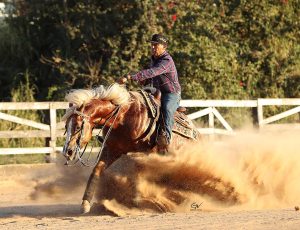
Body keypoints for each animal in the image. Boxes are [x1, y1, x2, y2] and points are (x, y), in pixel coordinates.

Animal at [61, 83, 199, 214]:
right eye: (66, 126)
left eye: (78, 126)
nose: (68, 151)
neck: (123, 117)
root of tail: (195, 132)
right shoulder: (111, 149)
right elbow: (97, 170)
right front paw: (85, 204)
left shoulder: (145, 154)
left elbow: (137, 174)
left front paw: (137, 202)